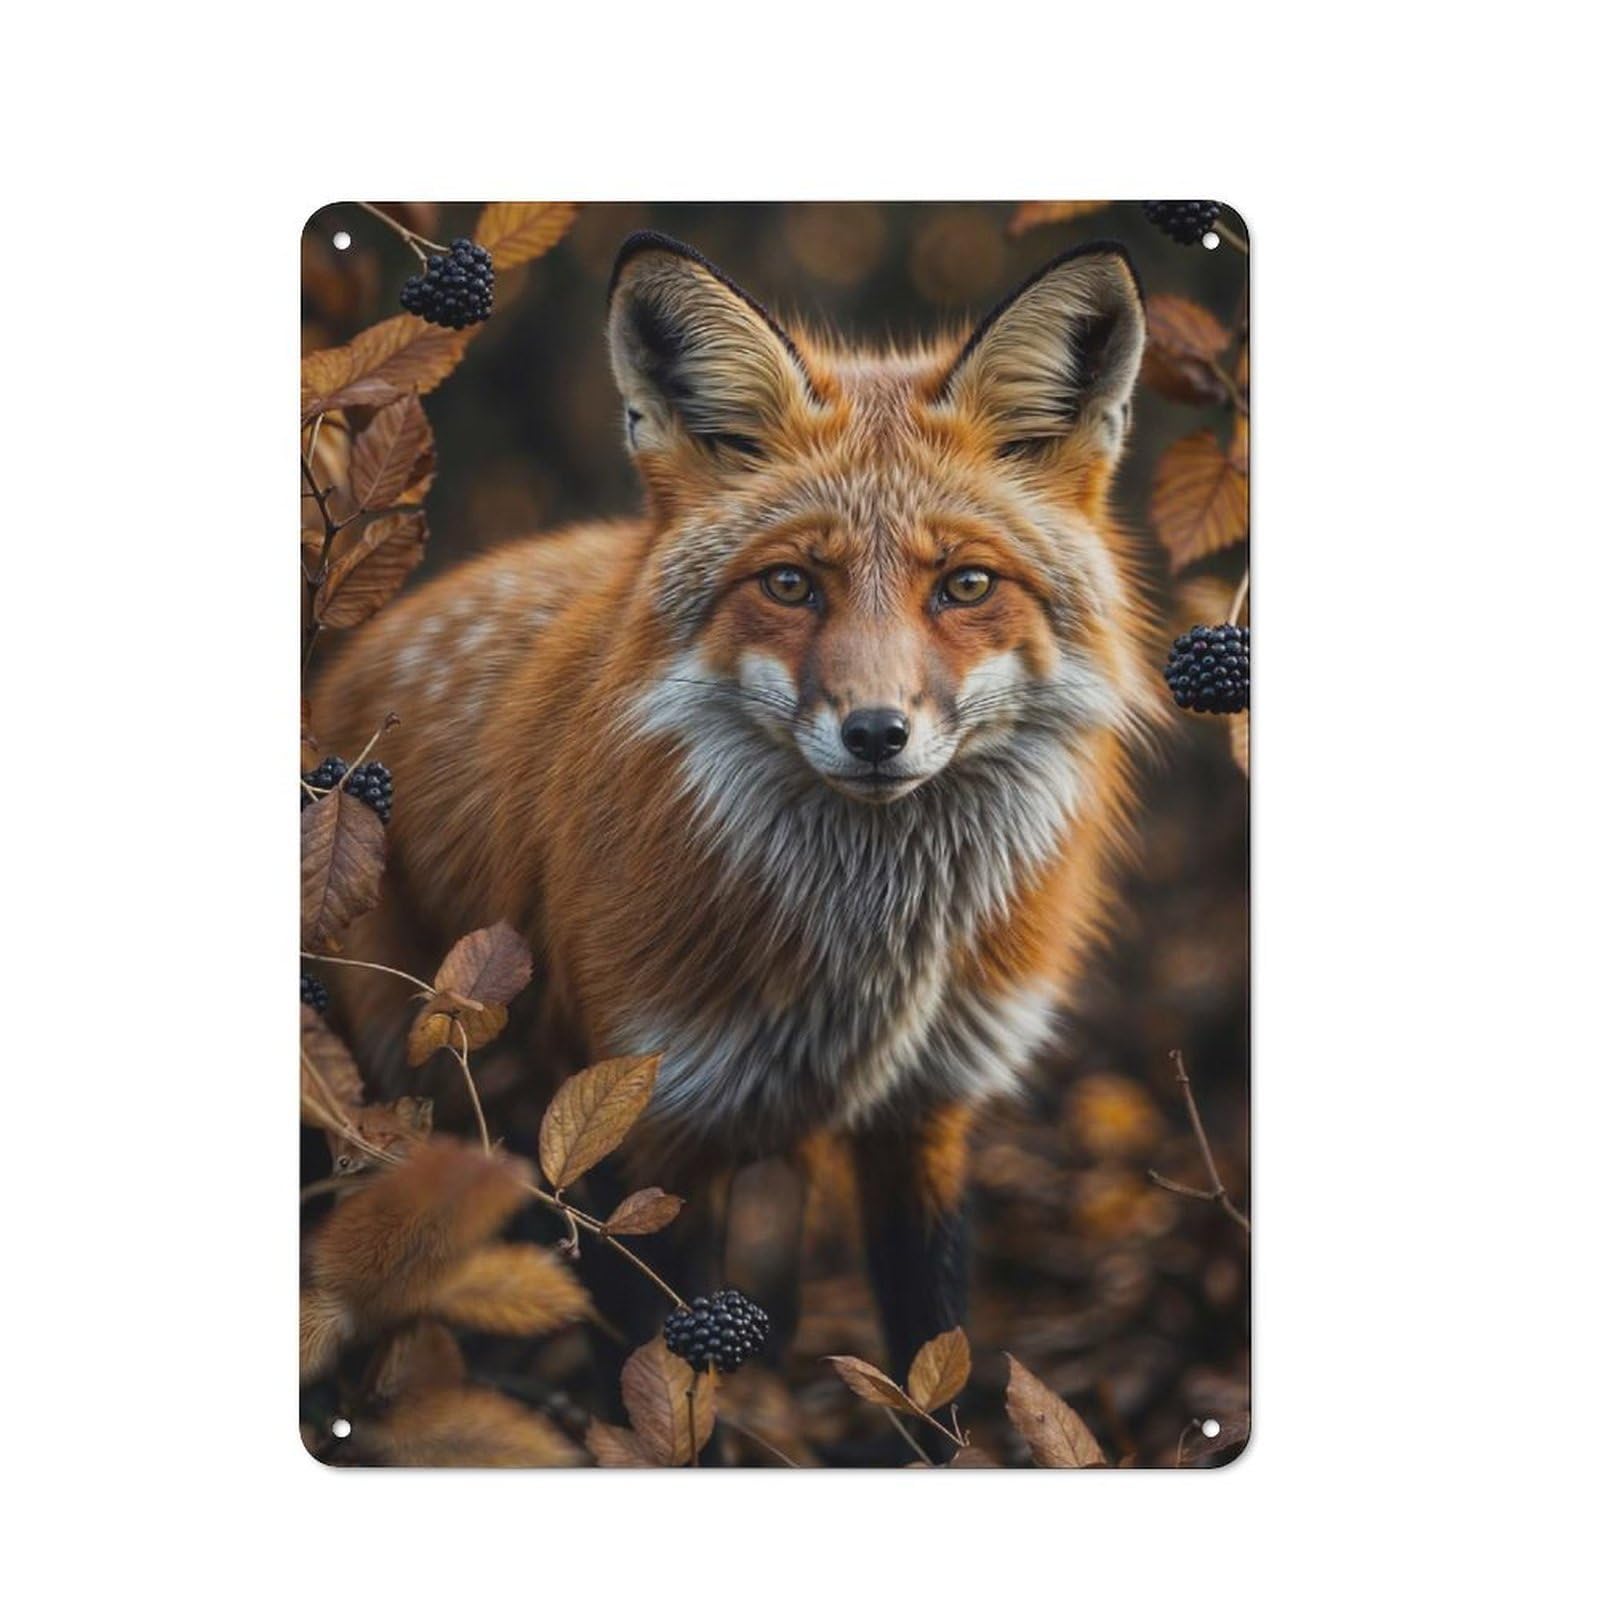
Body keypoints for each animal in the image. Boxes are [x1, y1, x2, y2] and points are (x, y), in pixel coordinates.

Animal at [314, 229, 1164, 1392]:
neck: (869, 966)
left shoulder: (925, 1113)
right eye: (793, 584)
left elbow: (931, 1355)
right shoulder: (643, 1124)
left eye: (967, 585)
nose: (876, 733)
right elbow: (661, 1390)